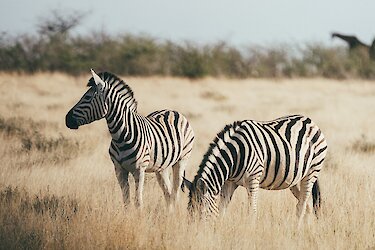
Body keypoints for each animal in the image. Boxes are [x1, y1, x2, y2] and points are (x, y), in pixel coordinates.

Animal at [65, 69, 194, 208]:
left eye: (87, 97)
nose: (67, 119)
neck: (121, 137)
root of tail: (173, 111)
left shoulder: (139, 170)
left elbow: (138, 202)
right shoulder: (119, 170)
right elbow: (126, 201)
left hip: (182, 159)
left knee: (175, 193)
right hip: (162, 166)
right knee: (168, 193)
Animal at [184, 115, 328, 225]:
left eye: (200, 211)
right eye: (189, 211)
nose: (194, 233)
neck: (235, 154)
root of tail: (310, 121)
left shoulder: (253, 178)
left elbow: (251, 210)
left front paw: (250, 230)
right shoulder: (230, 182)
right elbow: (222, 208)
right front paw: (220, 228)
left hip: (312, 170)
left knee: (302, 205)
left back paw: (296, 230)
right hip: (295, 179)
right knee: (307, 204)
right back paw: (306, 229)